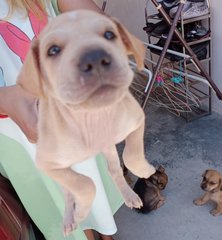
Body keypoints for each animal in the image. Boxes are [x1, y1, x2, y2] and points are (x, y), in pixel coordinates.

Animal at [16, 10, 155, 235]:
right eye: (53, 50)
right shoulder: (47, 164)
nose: (95, 58)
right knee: (68, 192)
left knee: (114, 170)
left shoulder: (137, 121)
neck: (92, 116)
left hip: (109, 149)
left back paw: (129, 195)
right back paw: (69, 218)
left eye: (109, 35)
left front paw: (144, 170)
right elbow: (85, 184)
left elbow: (131, 155)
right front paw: (81, 211)